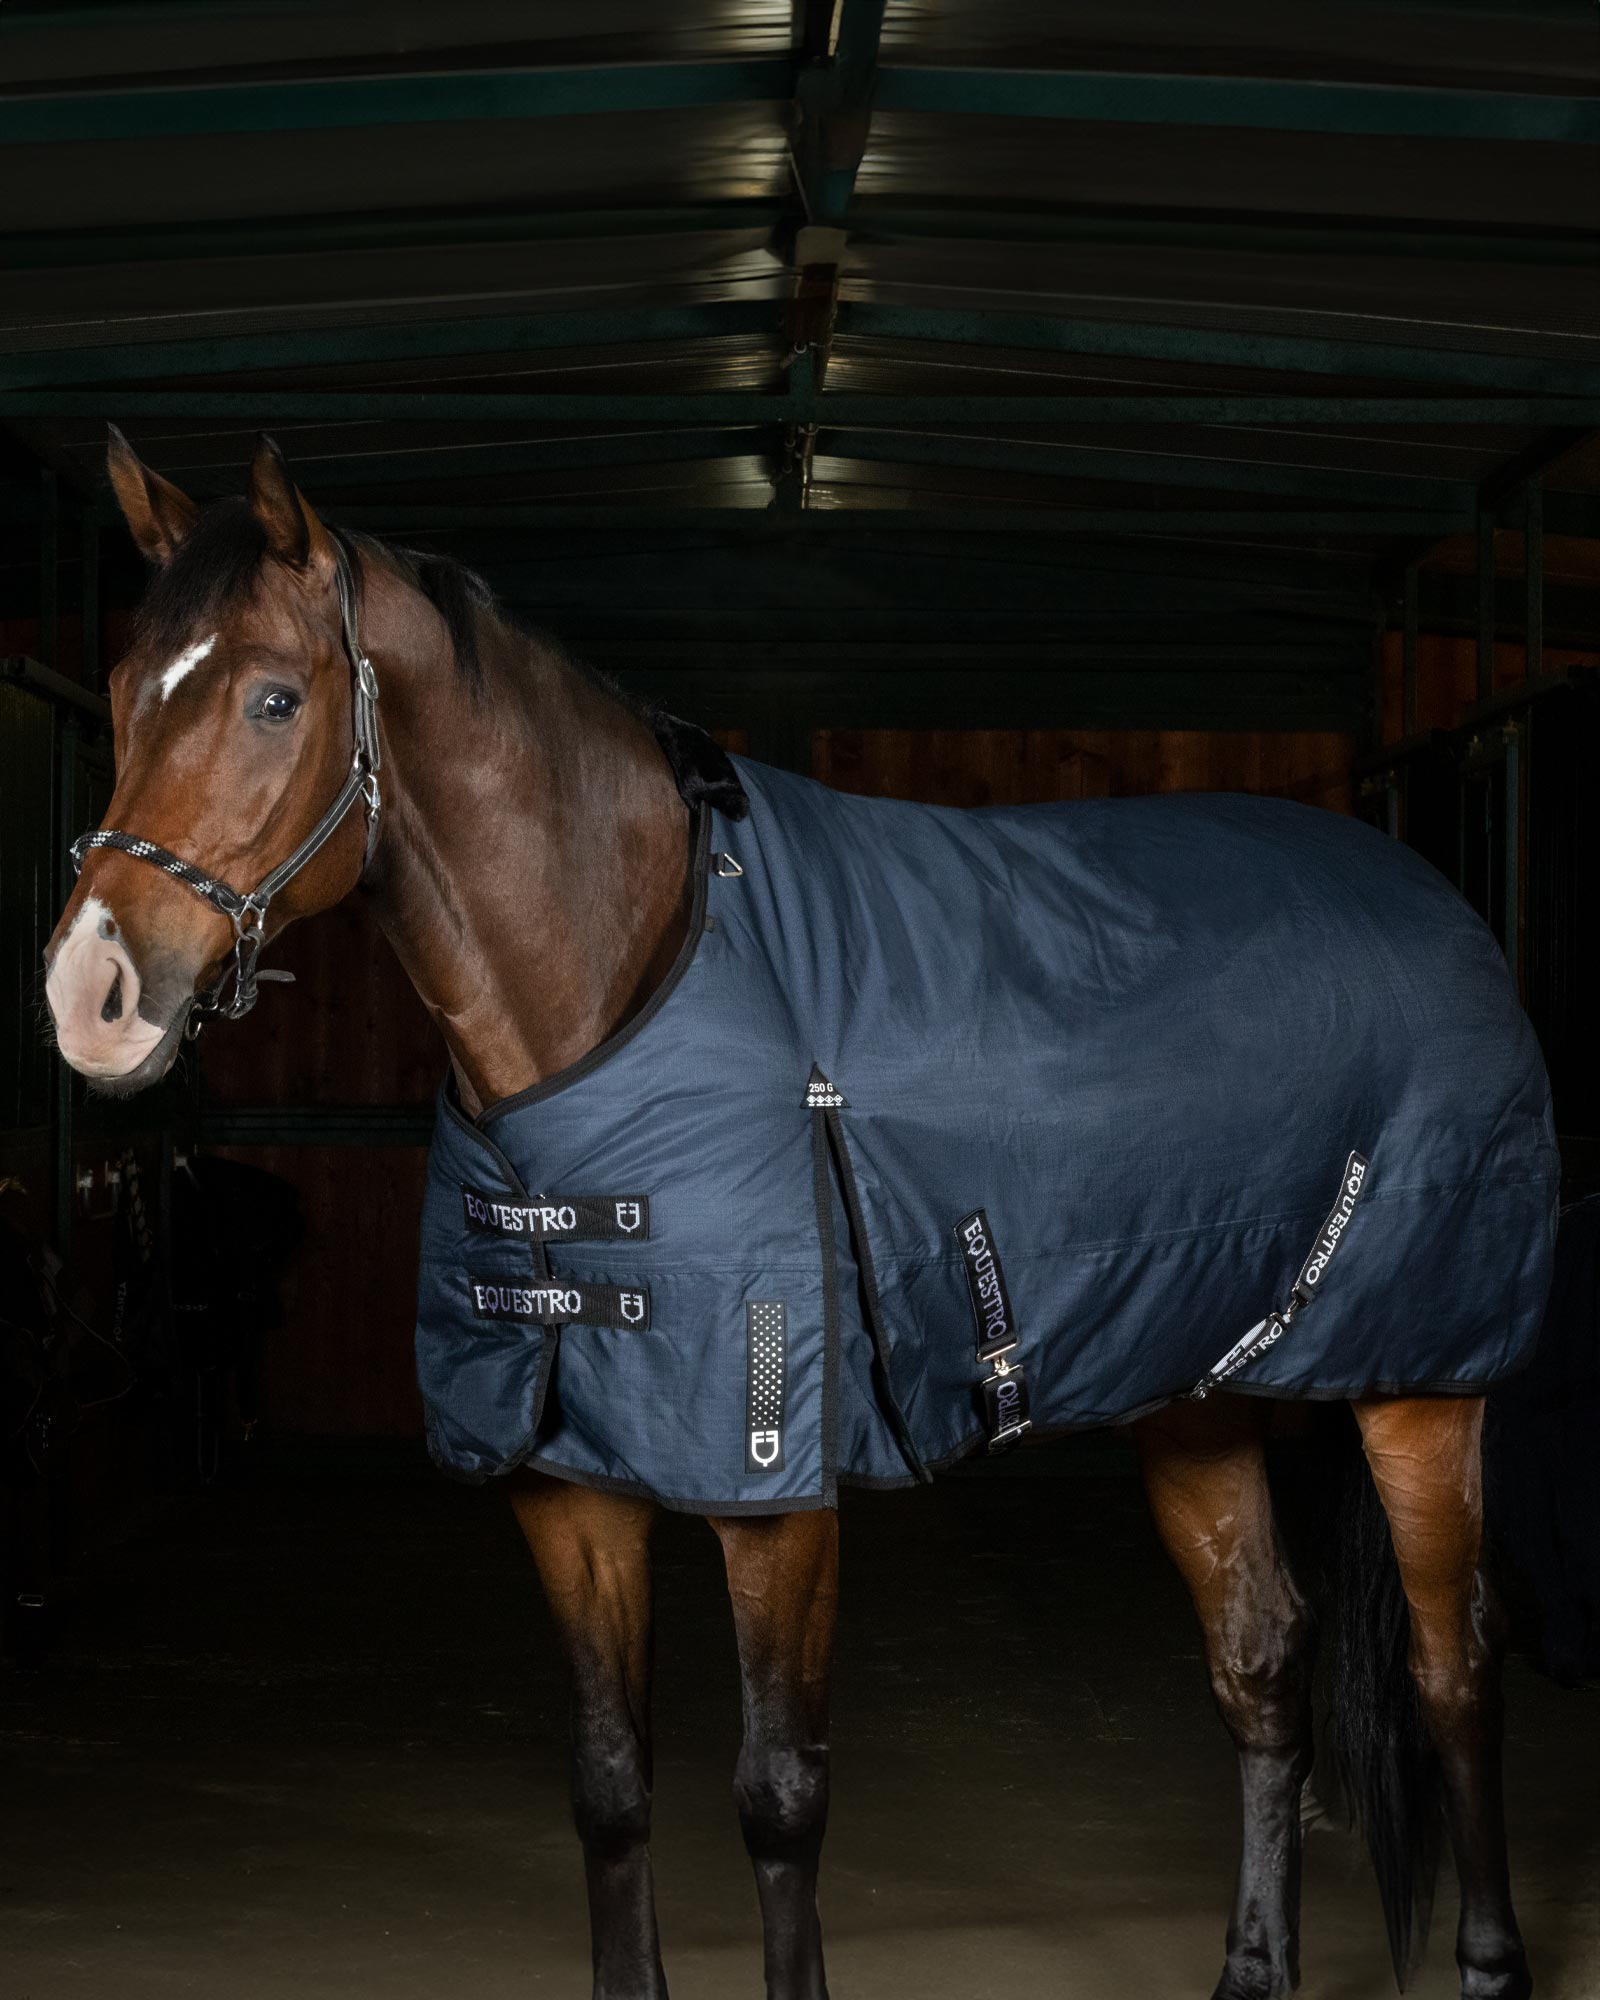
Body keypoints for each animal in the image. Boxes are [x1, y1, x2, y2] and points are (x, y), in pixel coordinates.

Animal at [42, 428, 1548, 2000]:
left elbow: (779, 1795)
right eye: (122, 690)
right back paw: (1252, 1968)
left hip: (1422, 1390)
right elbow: (609, 1784)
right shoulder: (564, 1491)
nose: (90, 994)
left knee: (1454, 1664)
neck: (626, 992)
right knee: (1261, 1659)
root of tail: (1434, 903)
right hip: (1196, 1399)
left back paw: (1492, 1961)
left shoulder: (775, 1500)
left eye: (275, 697)